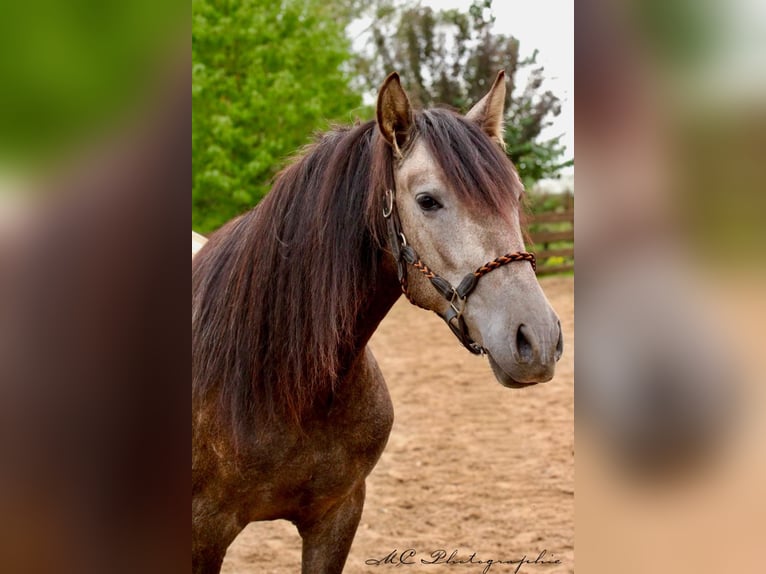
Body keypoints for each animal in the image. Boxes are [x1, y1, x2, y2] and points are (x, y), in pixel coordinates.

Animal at [192, 71, 563, 573]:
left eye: (516, 196)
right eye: (427, 201)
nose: (537, 339)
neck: (289, 387)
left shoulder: (338, 516)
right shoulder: (204, 532)